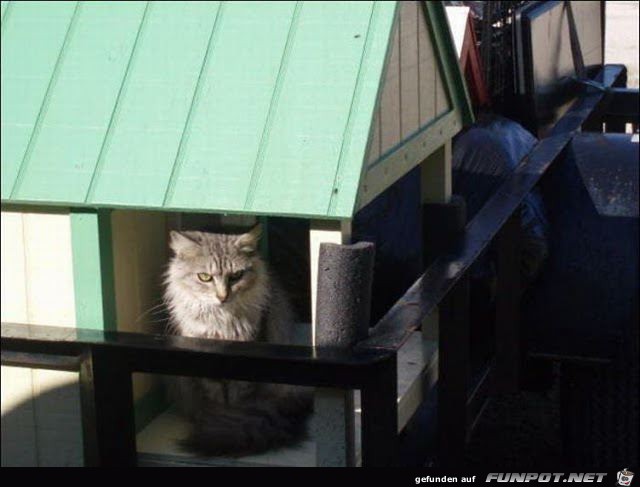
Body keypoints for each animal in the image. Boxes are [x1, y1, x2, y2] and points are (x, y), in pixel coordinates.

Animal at [164, 225, 312, 458]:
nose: (222, 297)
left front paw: (230, 421)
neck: (223, 325)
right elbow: (215, 398)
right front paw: (218, 419)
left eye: (236, 276)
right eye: (204, 277)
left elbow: (237, 398)